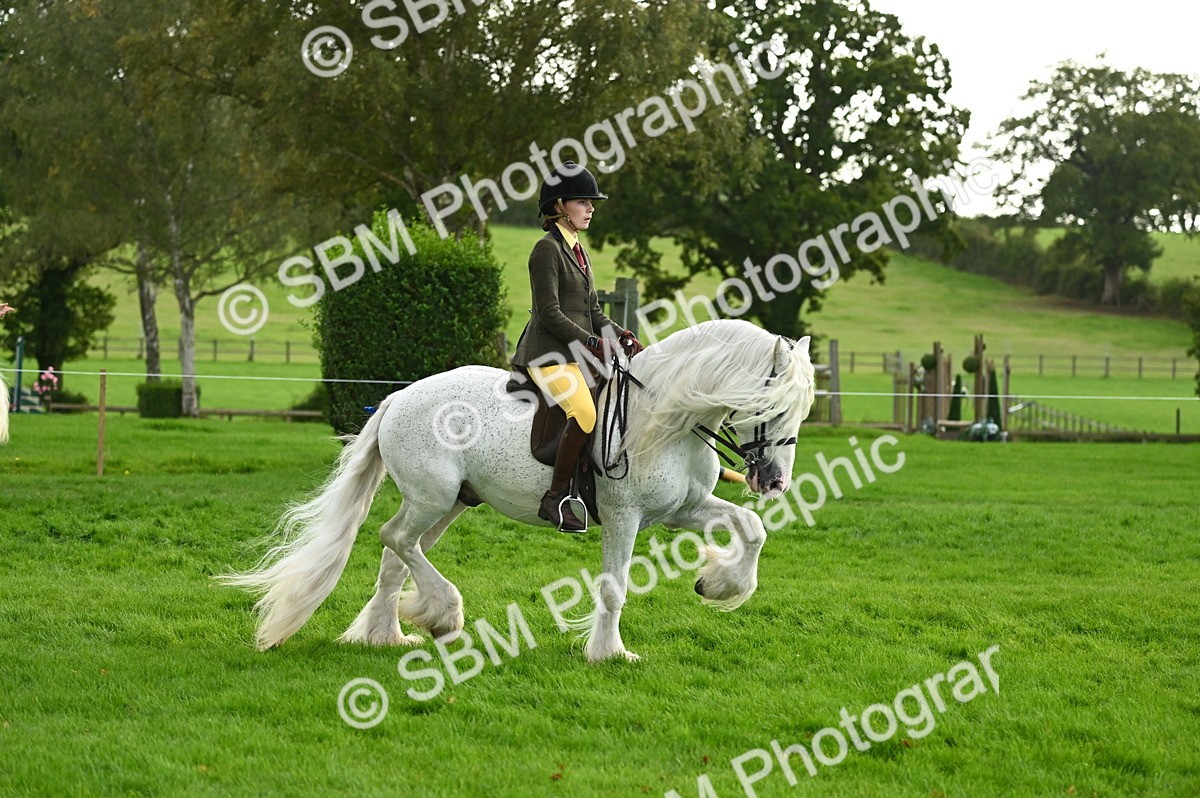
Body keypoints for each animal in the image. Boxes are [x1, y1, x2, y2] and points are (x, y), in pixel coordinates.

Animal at [221, 319, 816, 662]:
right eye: (772, 405)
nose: (775, 481)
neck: (666, 415)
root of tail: (398, 397)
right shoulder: (625, 517)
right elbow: (615, 585)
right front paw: (608, 654)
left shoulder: (682, 509)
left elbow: (753, 529)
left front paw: (718, 585)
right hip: (432, 497)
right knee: (396, 540)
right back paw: (443, 614)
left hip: (448, 503)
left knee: (396, 553)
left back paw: (388, 635)